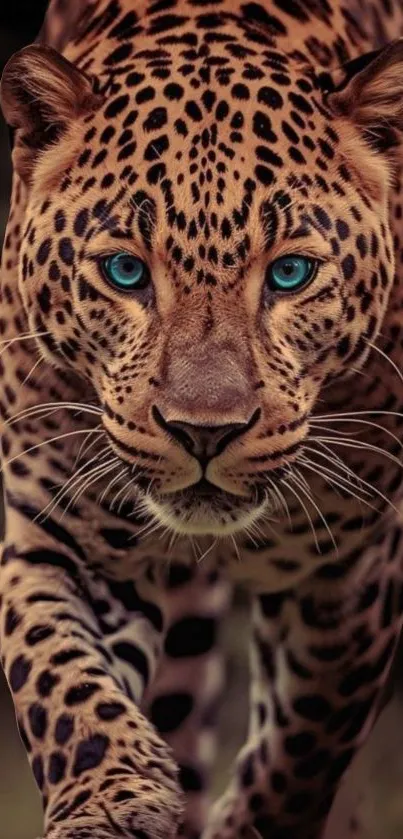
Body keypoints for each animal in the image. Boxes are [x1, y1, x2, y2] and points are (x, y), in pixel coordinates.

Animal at [0, 0, 403, 836]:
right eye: (125, 271)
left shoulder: (353, 568)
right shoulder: (54, 528)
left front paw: (254, 820)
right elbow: (57, 676)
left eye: (290, 273)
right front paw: (108, 799)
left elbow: (304, 741)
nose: (204, 432)